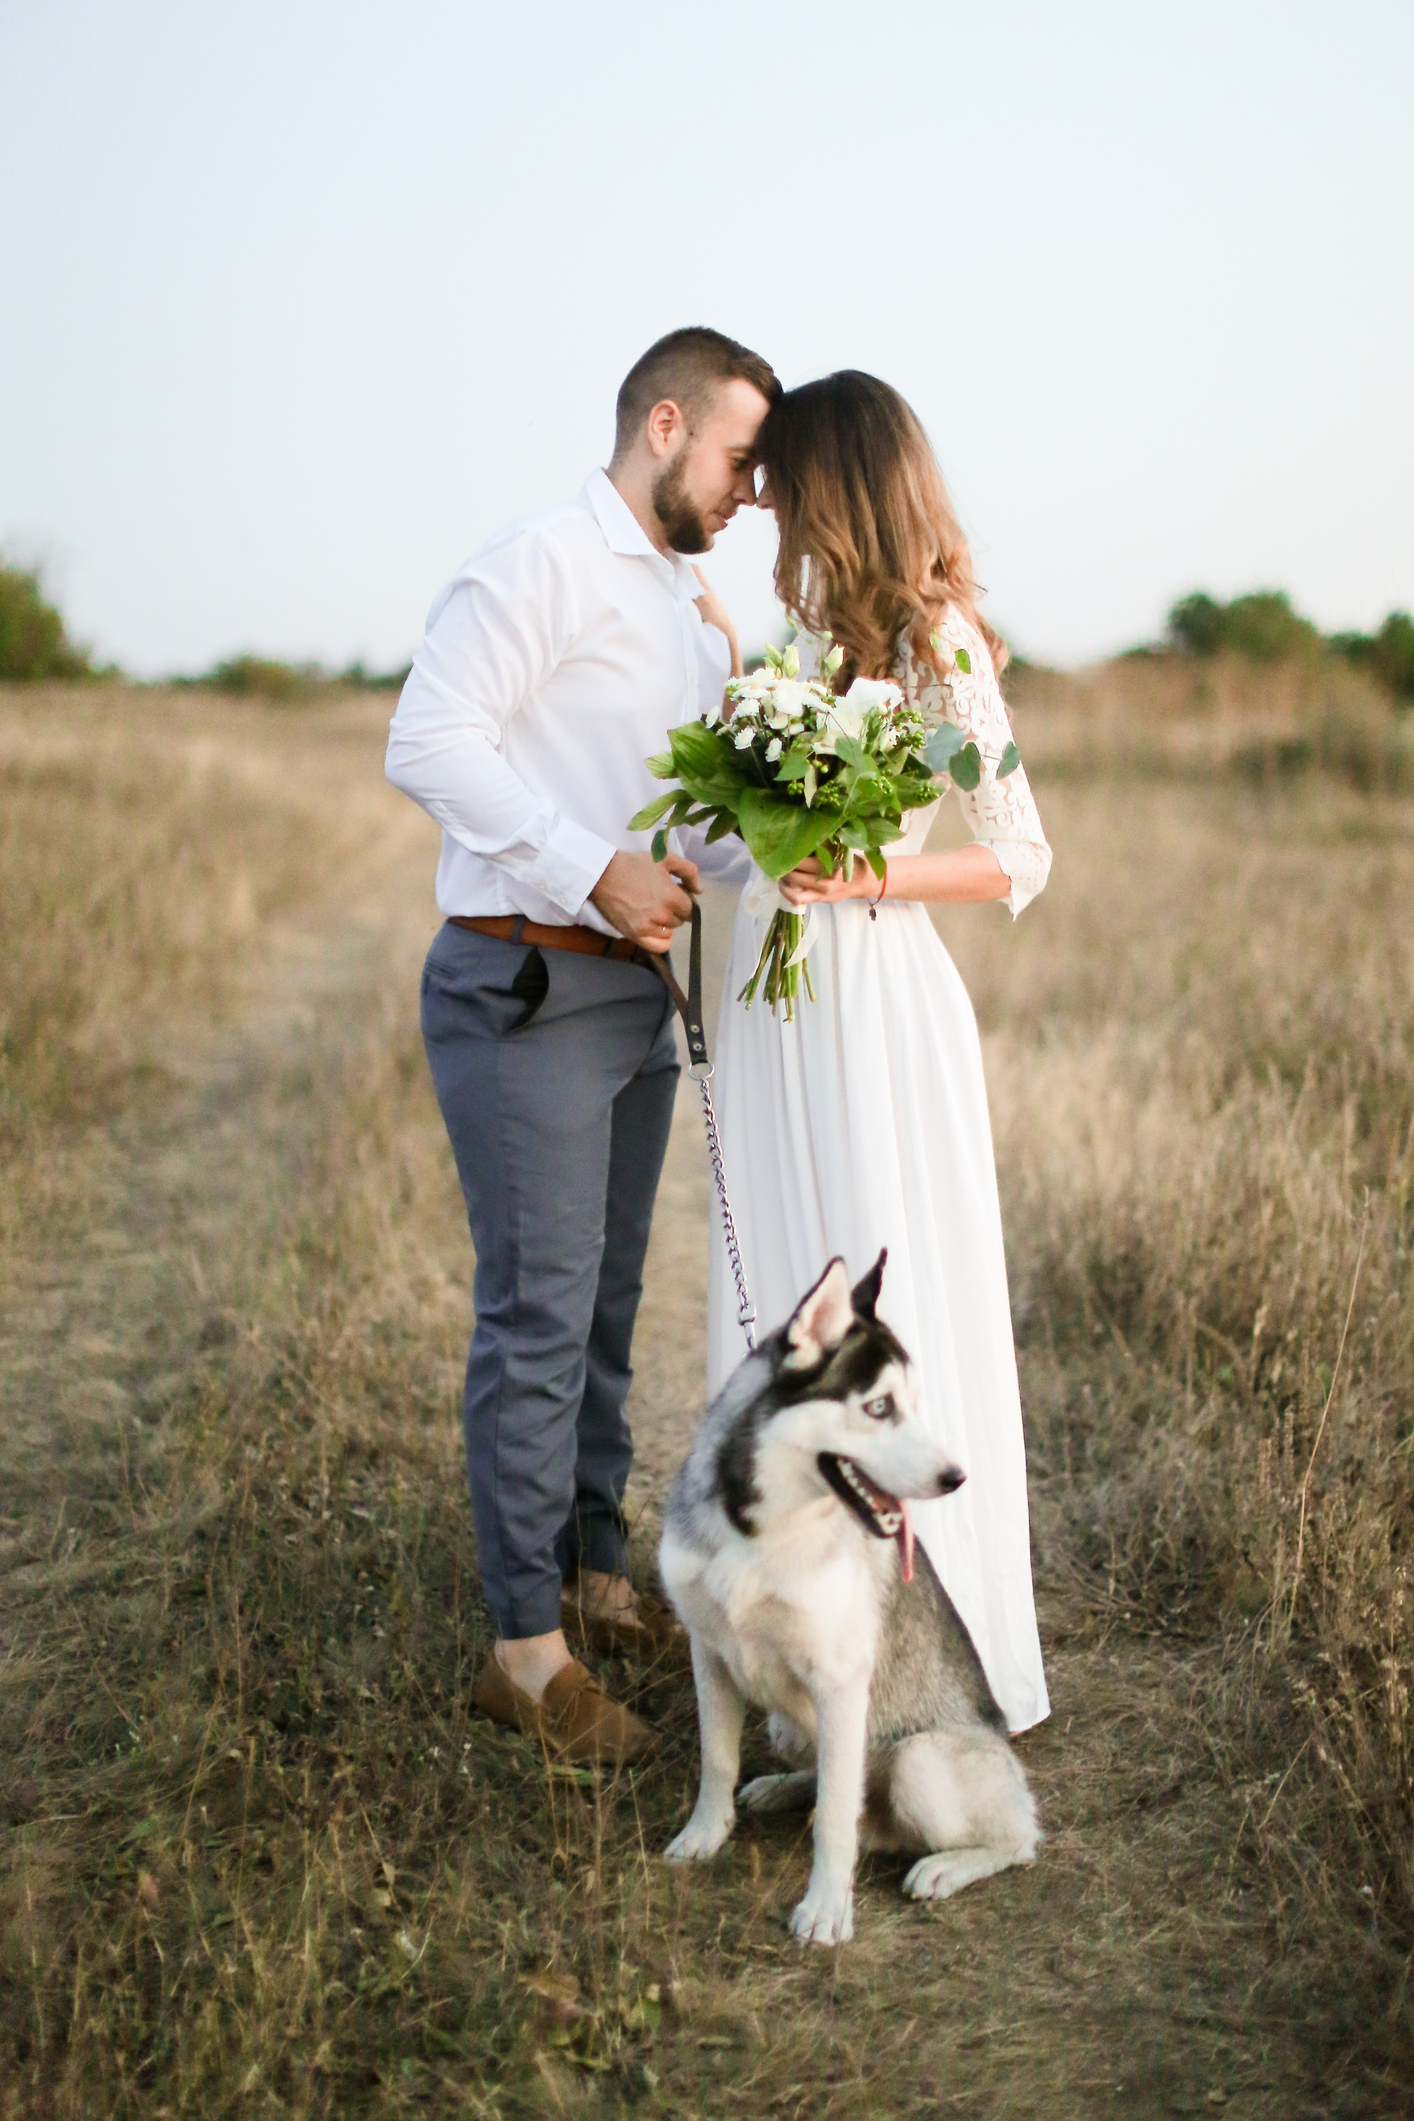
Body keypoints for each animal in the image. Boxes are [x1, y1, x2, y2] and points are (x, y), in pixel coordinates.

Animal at [657, 1247, 1038, 1942]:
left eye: (912, 1404)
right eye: (879, 1407)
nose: (957, 1477)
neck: (762, 1532)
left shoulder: (839, 1680)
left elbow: (837, 1815)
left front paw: (827, 1909)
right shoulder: (710, 1653)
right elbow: (717, 1759)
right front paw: (705, 1835)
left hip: (920, 1763)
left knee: (1016, 1839)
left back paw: (946, 1866)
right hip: (789, 1721)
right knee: (826, 1772)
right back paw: (785, 1787)